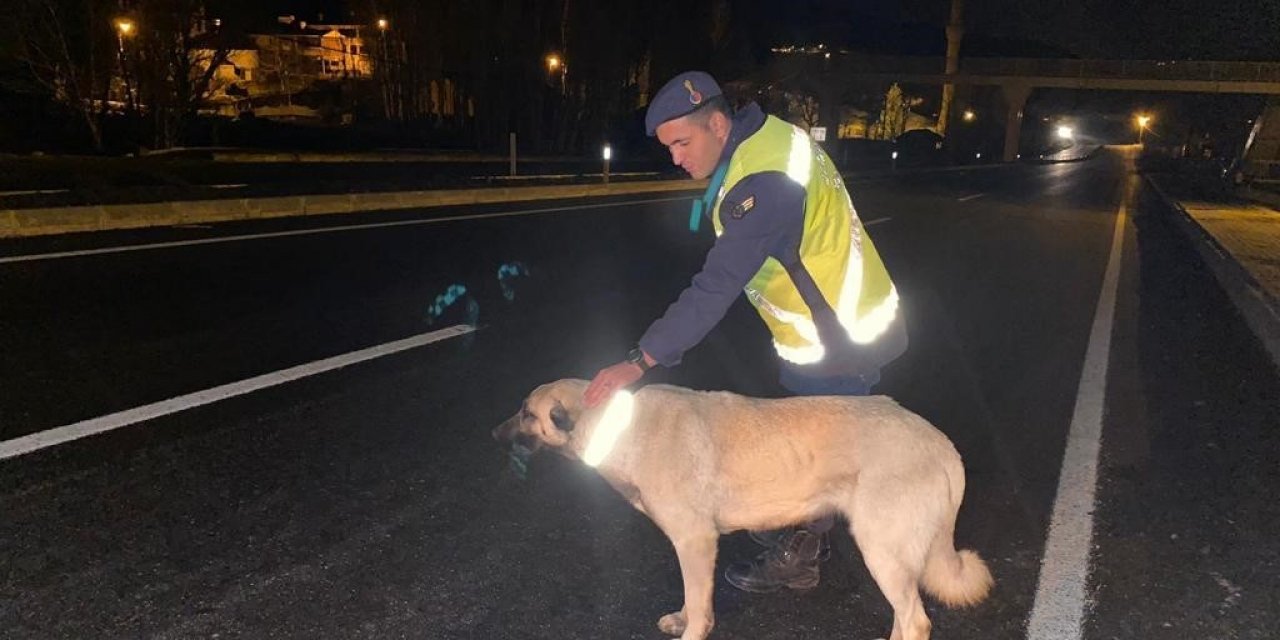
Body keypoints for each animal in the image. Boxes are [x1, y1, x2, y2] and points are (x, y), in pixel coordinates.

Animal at [491, 378, 988, 640]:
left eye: (526, 413)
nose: (493, 433)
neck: (616, 426)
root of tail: (942, 444)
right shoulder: (694, 545)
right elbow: (692, 601)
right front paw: (682, 619)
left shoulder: (695, 542)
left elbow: (698, 603)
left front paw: (692, 630)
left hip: (882, 552)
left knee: (915, 621)